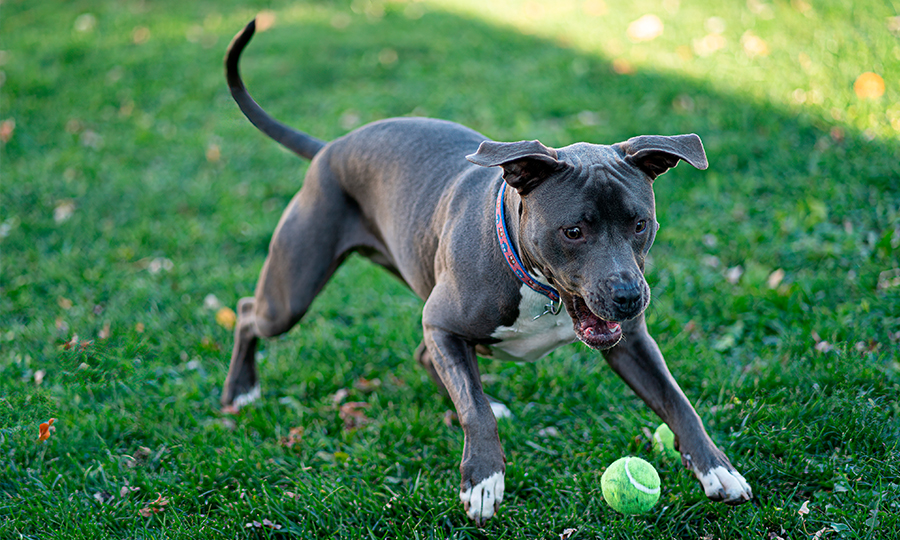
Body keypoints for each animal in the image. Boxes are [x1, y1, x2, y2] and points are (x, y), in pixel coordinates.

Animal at [220, 20, 752, 524]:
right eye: (573, 231)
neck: (535, 284)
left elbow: (678, 402)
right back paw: (240, 391)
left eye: (640, 224)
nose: (628, 297)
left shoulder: (632, 344)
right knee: (249, 312)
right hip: (291, 294)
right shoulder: (443, 323)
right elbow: (473, 410)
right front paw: (483, 479)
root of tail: (331, 147)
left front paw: (717, 469)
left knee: (427, 359)